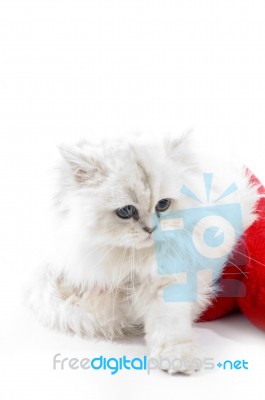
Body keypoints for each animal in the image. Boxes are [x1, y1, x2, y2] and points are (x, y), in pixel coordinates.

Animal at [27, 134, 260, 376]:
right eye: (126, 211)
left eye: (163, 205)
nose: (151, 229)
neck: (134, 259)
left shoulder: (170, 281)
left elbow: (169, 325)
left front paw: (178, 359)